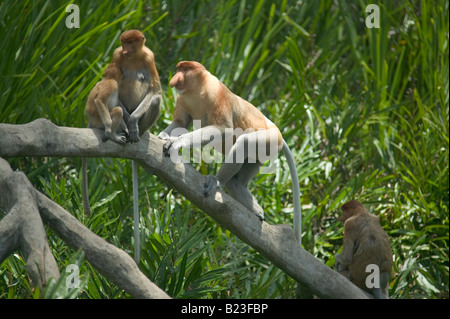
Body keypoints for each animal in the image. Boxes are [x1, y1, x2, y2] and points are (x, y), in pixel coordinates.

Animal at [158, 62, 302, 245]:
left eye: (184, 70)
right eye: (178, 69)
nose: (174, 78)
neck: (197, 90)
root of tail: (276, 129)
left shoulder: (219, 96)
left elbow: (222, 129)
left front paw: (177, 142)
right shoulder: (182, 100)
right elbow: (180, 123)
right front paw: (162, 136)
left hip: (269, 140)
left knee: (244, 143)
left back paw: (217, 180)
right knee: (241, 173)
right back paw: (247, 200)